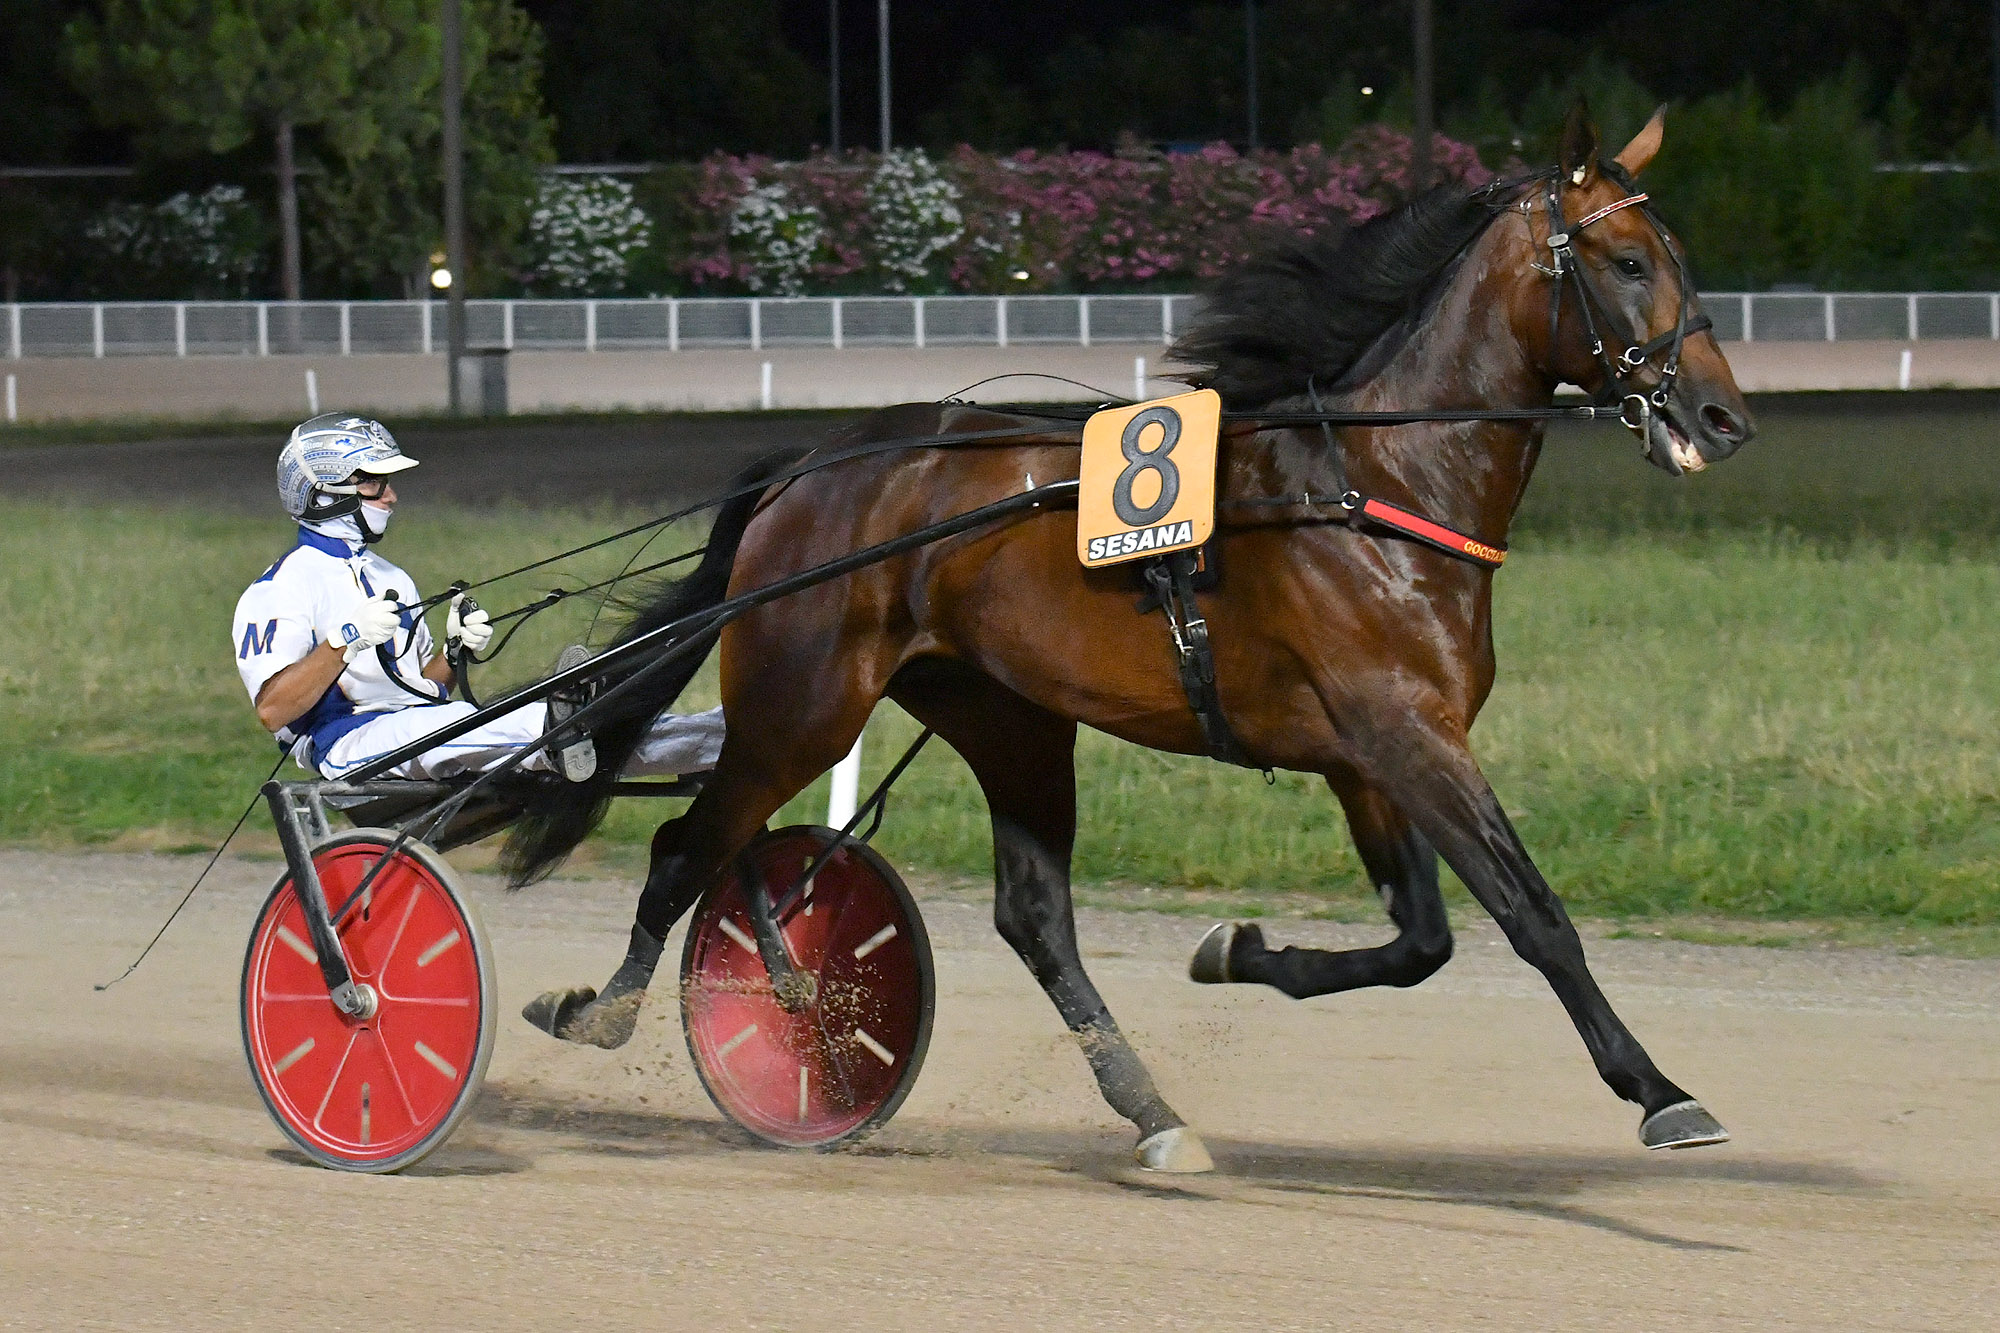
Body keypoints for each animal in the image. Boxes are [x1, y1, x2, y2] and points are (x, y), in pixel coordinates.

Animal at [512, 106, 1752, 1160]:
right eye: (1627, 262)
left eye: (1675, 256)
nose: (1720, 415)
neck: (1373, 484)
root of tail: (814, 462)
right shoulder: (1407, 736)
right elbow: (1529, 914)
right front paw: (1661, 1092)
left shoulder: (1373, 752)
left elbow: (1420, 942)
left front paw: (1239, 949)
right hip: (800, 703)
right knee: (690, 848)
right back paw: (609, 1013)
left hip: (1005, 718)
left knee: (1027, 915)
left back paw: (1149, 1108)